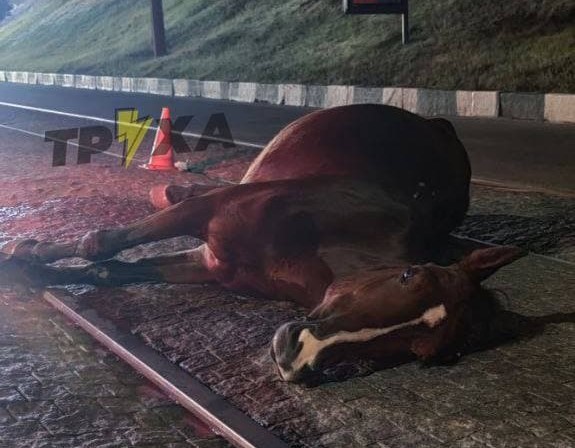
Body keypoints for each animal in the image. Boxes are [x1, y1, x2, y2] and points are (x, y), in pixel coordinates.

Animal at [0, 105, 524, 382]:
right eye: (408, 274)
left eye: (425, 356)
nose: (297, 355)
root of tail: (437, 123)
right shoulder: (209, 216)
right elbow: (102, 244)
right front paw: (22, 255)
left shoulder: (211, 264)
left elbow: (109, 267)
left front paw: (33, 267)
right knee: (173, 196)